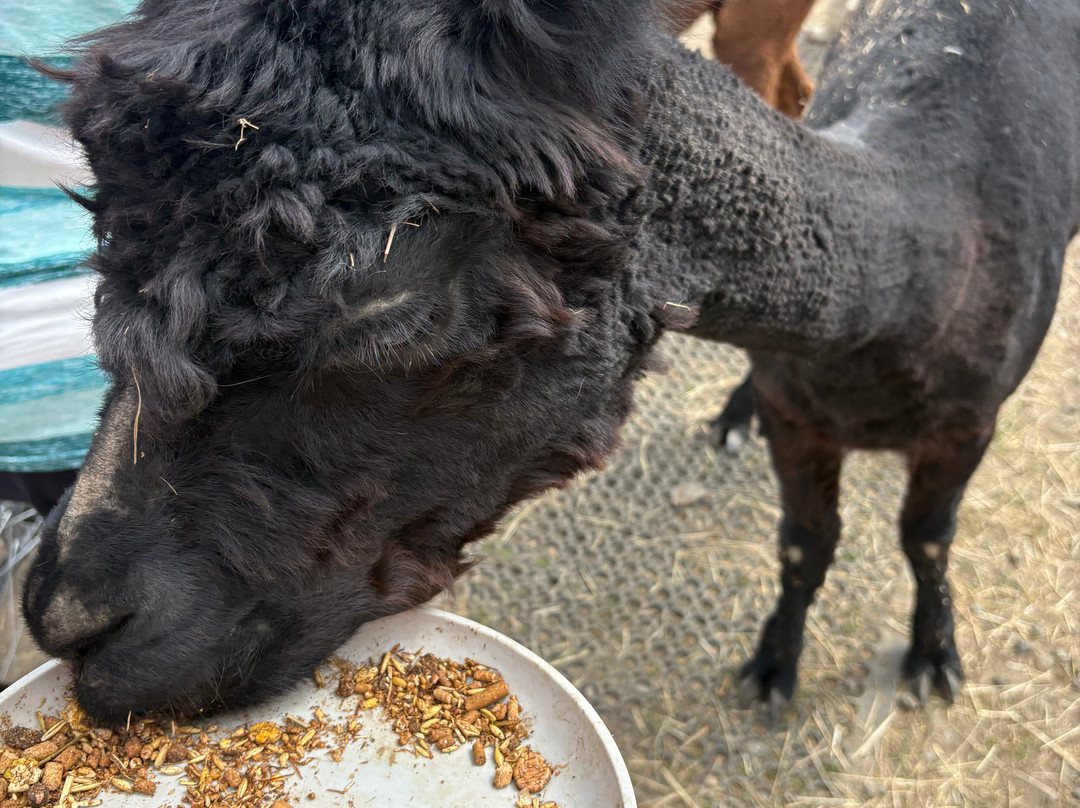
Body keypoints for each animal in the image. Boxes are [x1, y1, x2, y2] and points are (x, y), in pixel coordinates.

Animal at [23, 0, 1079, 720]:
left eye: (382, 294)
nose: (68, 618)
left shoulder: (967, 421)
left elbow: (925, 539)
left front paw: (931, 656)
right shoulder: (801, 410)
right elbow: (803, 544)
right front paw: (776, 664)